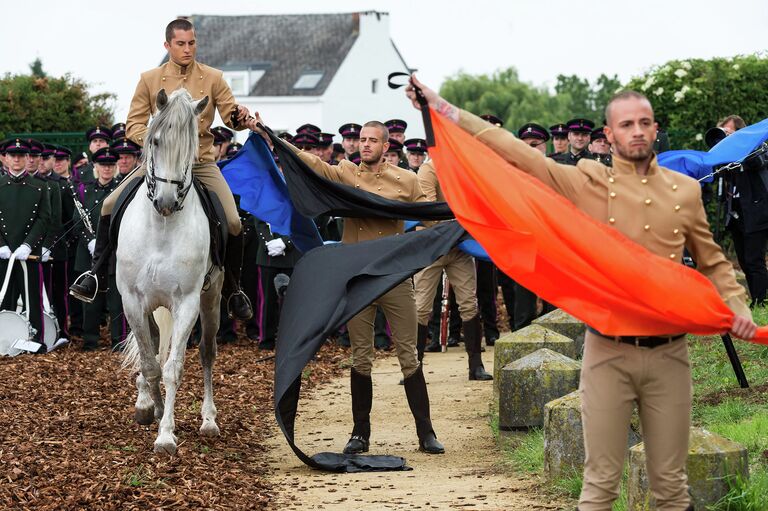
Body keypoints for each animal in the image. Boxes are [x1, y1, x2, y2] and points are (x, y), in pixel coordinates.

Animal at [118, 89, 224, 456]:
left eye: (191, 147)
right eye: (156, 141)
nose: (165, 200)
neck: (162, 226)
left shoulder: (187, 303)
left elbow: (172, 368)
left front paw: (165, 434)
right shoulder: (132, 301)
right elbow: (150, 363)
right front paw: (151, 408)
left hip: (211, 299)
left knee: (207, 352)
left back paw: (208, 420)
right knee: (151, 347)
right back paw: (146, 401)